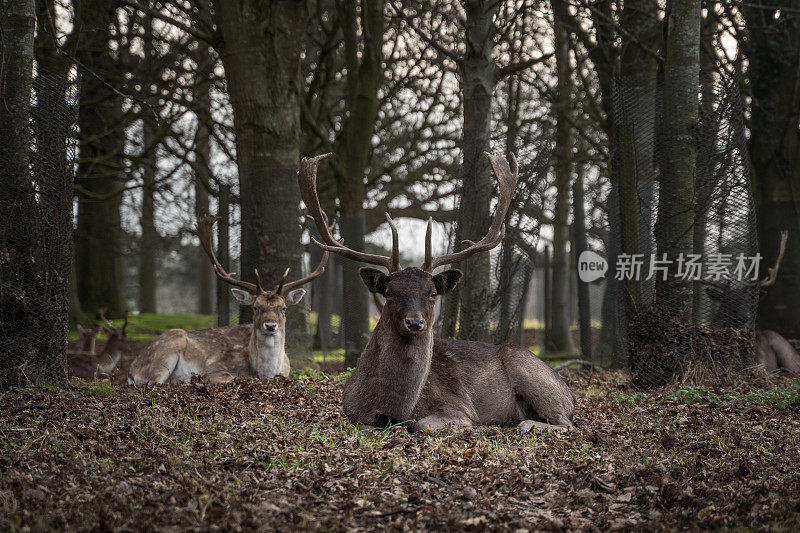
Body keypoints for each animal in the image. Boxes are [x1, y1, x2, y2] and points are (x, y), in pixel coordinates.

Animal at [126, 214, 326, 384]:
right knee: (153, 383)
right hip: (168, 348)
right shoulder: (215, 368)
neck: (264, 372)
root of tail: (131, 370)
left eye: (283, 308)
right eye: (255, 307)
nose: (270, 325)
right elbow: (228, 376)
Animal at [300, 151, 576, 432]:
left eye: (432, 293)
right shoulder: (352, 413)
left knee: (566, 423)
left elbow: (424, 425)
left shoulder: (460, 406)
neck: (393, 409)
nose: (414, 322)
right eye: (389, 292)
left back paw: (521, 425)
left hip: (532, 375)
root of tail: (570, 393)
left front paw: (474, 427)